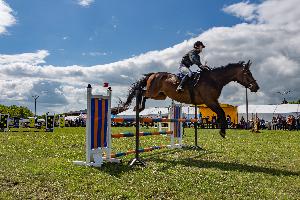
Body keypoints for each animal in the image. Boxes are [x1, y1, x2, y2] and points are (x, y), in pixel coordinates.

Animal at [120, 59, 258, 138]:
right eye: (248, 73)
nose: (256, 87)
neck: (214, 79)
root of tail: (153, 74)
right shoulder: (210, 101)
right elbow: (222, 113)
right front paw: (223, 132)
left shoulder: (212, 101)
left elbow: (221, 113)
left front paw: (222, 131)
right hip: (153, 92)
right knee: (141, 92)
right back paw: (138, 107)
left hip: (160, 95)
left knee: (143, 93)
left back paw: (139, 107)